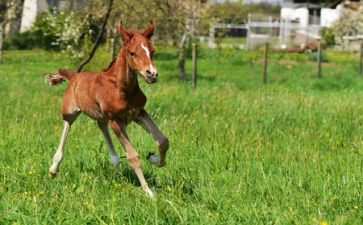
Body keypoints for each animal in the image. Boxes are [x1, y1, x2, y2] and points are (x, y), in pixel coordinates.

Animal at [45, 21, 169, 197]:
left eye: (152, 51)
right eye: (132, 53)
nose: (151, 74)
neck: (121, 87)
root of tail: (74, 75)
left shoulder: (139, 113)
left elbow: (163, 141)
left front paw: (153, 158)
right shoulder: (116, 120)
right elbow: (133, 156)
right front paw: (148, 192)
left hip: (103, 117)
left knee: (101, 126)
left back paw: (116, 170)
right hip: (71, 112)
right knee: (67, 125)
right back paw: (54, 168)